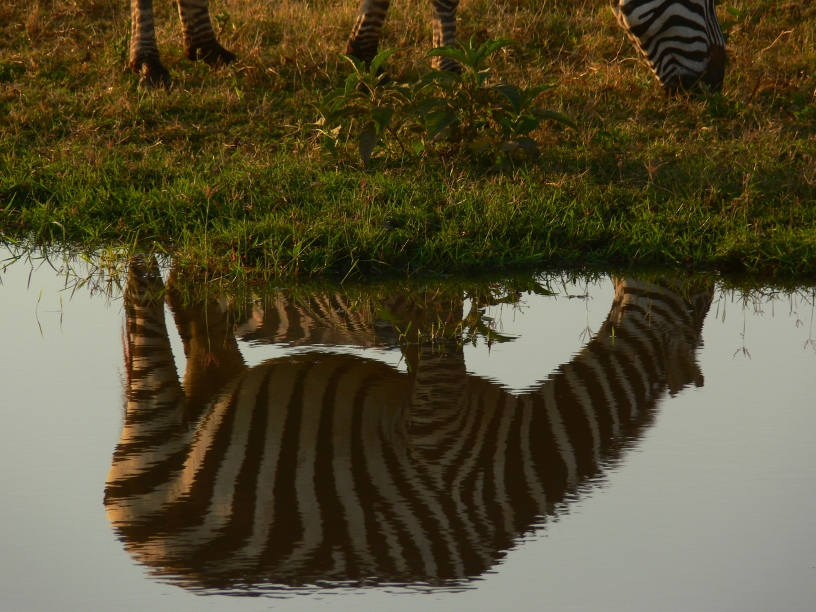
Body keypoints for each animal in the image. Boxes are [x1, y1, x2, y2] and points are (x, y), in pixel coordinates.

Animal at [105, 261, 713, 591]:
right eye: (704, 297)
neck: (516, 458)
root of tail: (145, 556)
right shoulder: (438, 426)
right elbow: (440, 318)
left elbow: (424, 327)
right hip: (156, 425)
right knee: (142, 295)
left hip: (211, 384)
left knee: (195, 311)